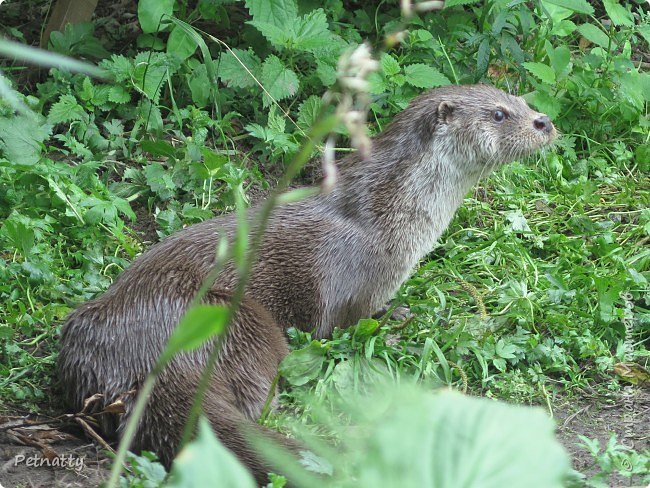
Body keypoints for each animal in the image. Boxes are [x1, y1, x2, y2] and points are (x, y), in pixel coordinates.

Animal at [55, 83, 556, 480]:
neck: (388, 217)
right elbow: (343, 326)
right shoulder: (353, 284)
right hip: (243, 322)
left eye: (521, 99)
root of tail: (144, 359)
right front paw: (397, 326)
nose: (545, 121)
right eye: (499, 114)